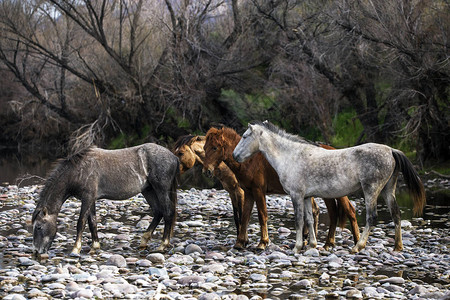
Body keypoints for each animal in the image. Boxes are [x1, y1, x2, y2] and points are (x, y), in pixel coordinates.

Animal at [31, 144, 178, 255]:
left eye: (38, 227)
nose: (37, 251)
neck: (78, 171)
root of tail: (174, 157)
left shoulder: (87, 198)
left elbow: (81, 222)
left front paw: (75, 249)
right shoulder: (91, 199)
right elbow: (92, 222)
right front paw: (95, 246)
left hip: (161, 190)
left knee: (167, 212)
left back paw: (162, 245)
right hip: (148, 190)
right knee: (158, 212)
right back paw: (144, 242)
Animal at [202, 126, 360, 251]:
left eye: (215, 147)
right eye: (204, 148)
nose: (206, 171)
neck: (250, 161)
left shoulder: (258, 191)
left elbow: (262, 215)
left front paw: (263, 243)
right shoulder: (248, 193)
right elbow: (245, 216)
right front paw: (240, 242)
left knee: (349, 211)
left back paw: (356, 242)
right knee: (331, 214)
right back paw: (326, 243)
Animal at [234, 120, 428, 254]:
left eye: (244, 136)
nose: (235, 155)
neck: (291, 156)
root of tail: (391, 150)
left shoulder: (296, 196)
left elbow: (299, 221)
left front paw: (297, 247)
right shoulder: (306, 197)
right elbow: (309, 219)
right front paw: (312, 245)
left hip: (371, 190)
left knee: (371, 217)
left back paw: (358, 247)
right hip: (388, 190)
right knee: (396, 215)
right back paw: (397, 247)